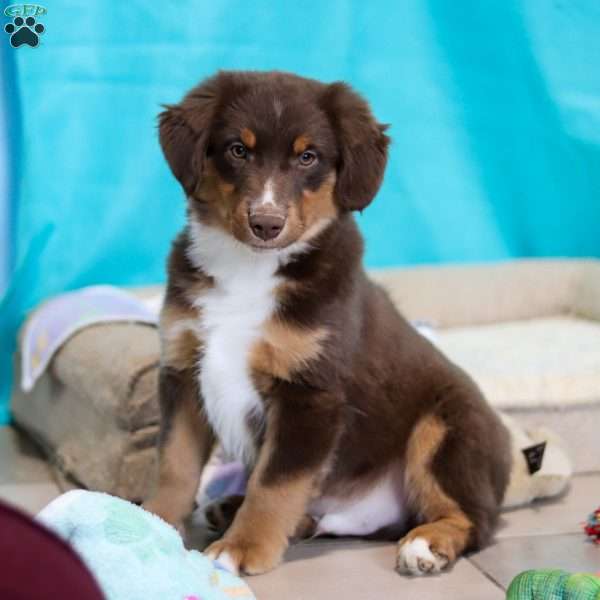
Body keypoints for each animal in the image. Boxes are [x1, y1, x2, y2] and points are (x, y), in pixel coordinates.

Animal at [145, 70, 510, 576]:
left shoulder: (310, 394)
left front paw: (243, 548)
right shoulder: (183, 369)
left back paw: (426, 544)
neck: (249, 271)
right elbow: (174, 463)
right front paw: (152, 522)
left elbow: (275, 483)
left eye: (308, 156)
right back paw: (230, 506)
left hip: (446, 428)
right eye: (238, 150)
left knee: (474, 518)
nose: (266, 224)